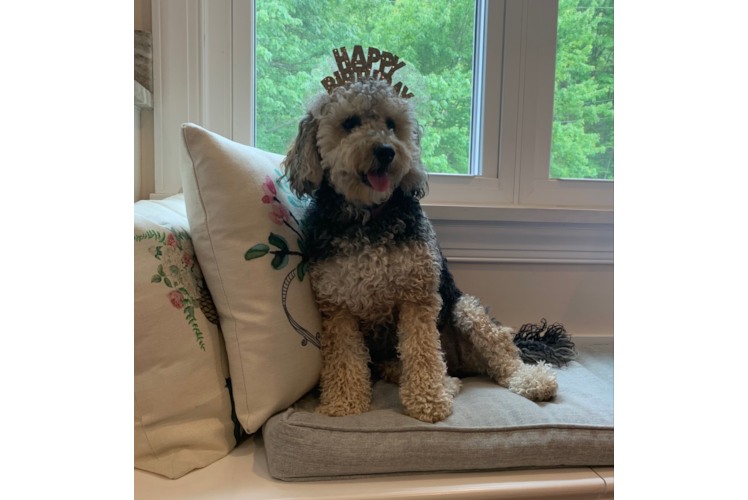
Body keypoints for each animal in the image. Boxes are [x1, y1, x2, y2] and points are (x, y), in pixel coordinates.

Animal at [280, 78, 572, 422]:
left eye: (392, 124)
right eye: (350, 122)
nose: (386, 151)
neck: (369, 219)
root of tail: (462, 364)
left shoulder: (416, 297)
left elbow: (422, 353)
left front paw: (429, 401)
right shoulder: (338, 307)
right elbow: (345, 358)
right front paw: (344, 402)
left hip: (465, 309)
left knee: (501, 354)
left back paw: (524, 379)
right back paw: (444, 381)